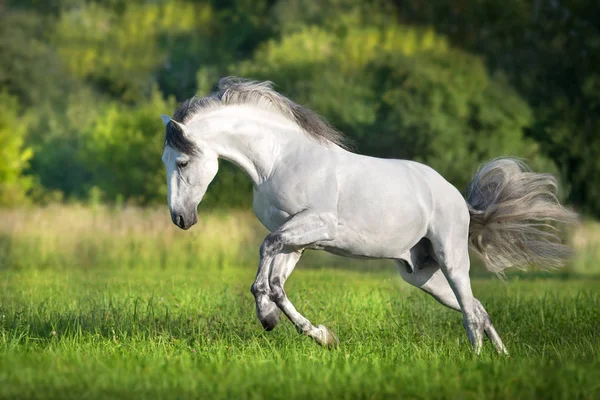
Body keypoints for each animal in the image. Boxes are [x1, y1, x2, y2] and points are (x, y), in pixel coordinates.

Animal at [161, 77, 576, 354]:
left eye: (182, 162)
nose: (181, 219)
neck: (278, 160)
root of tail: (459, 199)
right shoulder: (296, 240)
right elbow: (277, 282)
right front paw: (317, 334)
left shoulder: (315, 225)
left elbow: (265, 256)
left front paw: (268, 316)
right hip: (421, 275)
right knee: (477, 308)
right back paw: (499, 358)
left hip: (452, 259)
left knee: (471, 313)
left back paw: (476, 361)